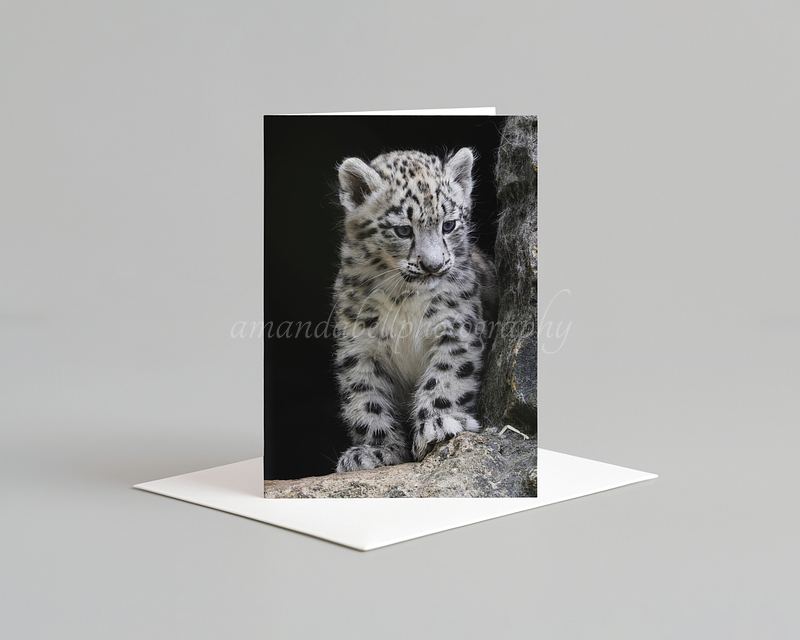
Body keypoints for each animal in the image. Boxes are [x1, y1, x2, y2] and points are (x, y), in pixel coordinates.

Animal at [332, 148, 497, 473]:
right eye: (402, 230)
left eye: (448, 224)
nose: (433, 265)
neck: (403, 297)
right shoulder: (359, 346)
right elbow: (366, 398)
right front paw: (376, 450)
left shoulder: (457, 327)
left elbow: (445, 377)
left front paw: (437, 424)